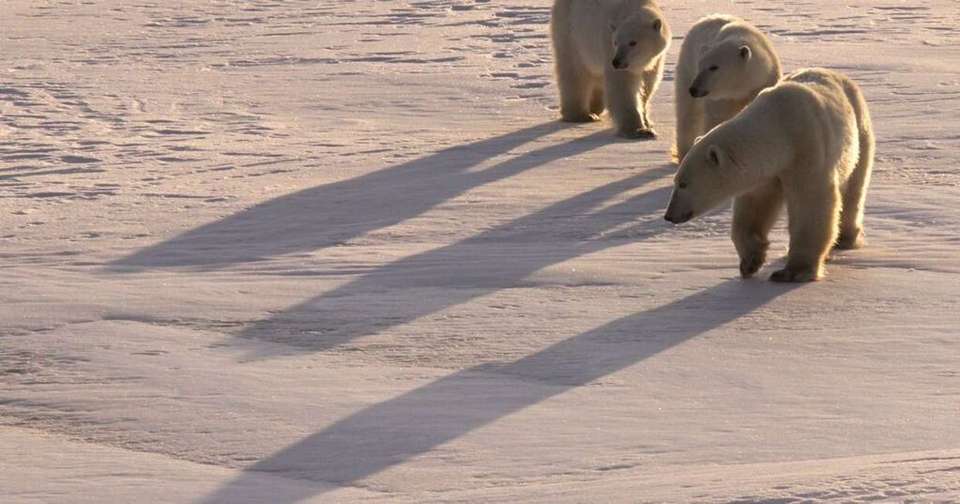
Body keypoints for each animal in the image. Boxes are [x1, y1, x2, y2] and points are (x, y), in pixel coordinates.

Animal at [550, 0, 671, 139]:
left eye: (633, 42)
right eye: (615, 42)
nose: (616, 62)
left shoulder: (655, 61)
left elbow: (648, 85)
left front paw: (647, 122)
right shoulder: (609, 46)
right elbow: (622, 87)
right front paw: (639, 130)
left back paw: (595, 107)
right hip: (571, 32)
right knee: (574, 71)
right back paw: (581, 115)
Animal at [663, 68, 875, 282]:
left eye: (683, 183)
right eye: (676, 181)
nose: (669, 215)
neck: (780, 128)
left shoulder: (808, 148)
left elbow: (810, 202)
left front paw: (793, 271)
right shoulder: (766, 171)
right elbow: (756, 205)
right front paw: (751, 261)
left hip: (860, 130)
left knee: (855, 187)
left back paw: (845, 238)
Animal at [673, 15, 782, 162]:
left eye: (714, 67)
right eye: (700, 65)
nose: (694, 89)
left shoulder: (764, 82)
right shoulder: (723, 98)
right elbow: (717, 120)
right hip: (687, 65)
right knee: (688, 112)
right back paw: (684, 153)